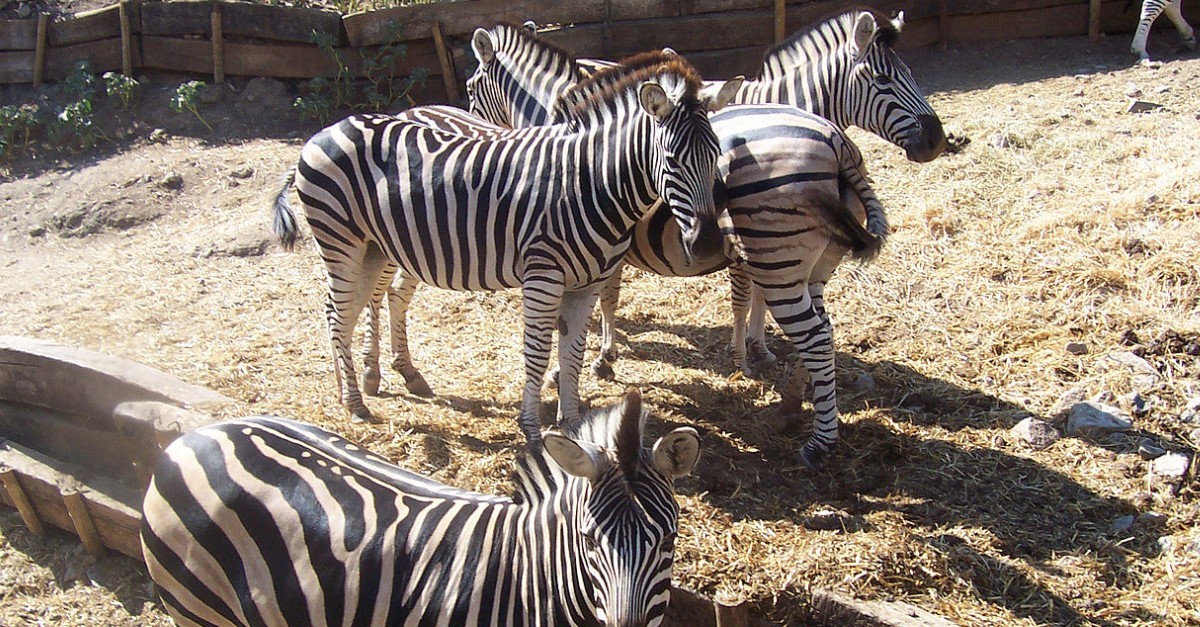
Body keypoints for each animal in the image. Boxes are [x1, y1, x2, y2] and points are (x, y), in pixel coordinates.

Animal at [274, 52, 739, 439]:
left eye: (717, 154)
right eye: (672, 160)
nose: (709, 244)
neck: (588, 181)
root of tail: (326, 130)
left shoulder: (587, 284)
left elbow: (572, 353)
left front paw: (571, 421)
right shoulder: (543, 277)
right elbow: (537, 353)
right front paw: (531, 428)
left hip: (374, 248)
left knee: (350, 311)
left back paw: (359, 386)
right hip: (342, 243)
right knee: (337, 315)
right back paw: (355, 402)